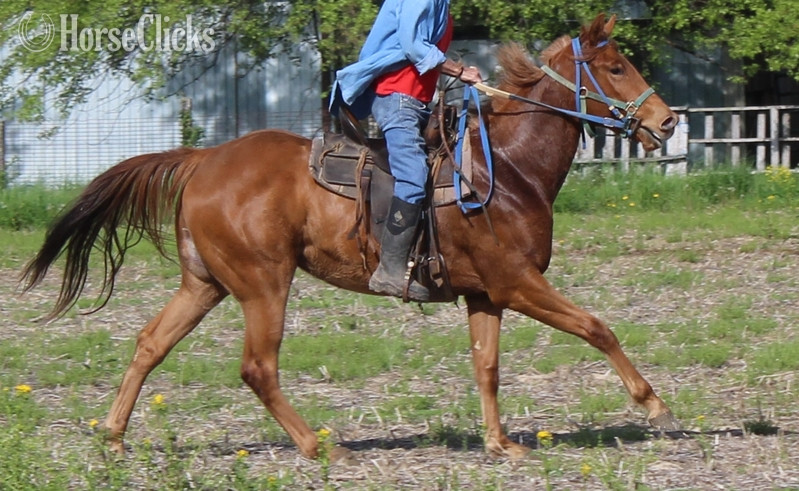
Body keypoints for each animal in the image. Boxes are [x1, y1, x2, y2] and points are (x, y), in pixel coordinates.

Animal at [22, 14, 680, 460]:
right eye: (616, 67)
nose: (668, 121)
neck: (507, 168)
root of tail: (203, 160)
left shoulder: (486, 294)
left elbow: (487, 365)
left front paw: (499, 443)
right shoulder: (518, 283)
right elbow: (596, 327)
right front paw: (655, 405)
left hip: (204, 283)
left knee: (150, 344)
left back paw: (113, 435)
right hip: (264, 284)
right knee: (258, 367)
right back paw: (320, 446)